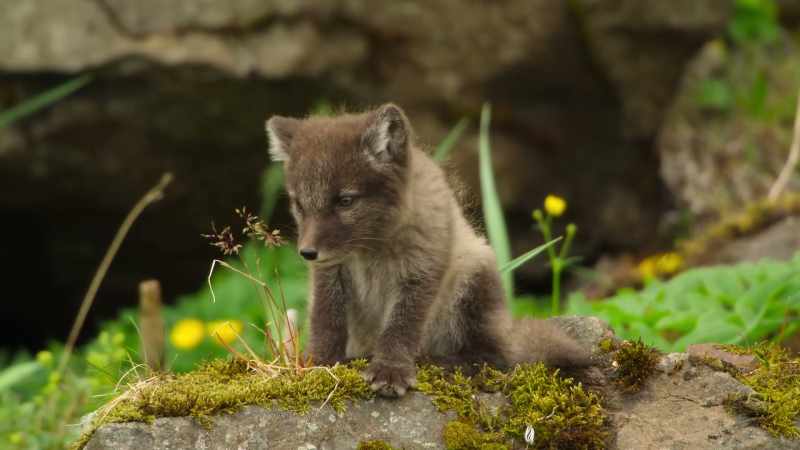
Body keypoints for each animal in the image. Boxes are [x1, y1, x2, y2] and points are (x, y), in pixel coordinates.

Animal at [266, 103, 592, 397]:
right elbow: (325, 319)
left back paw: (440, 362)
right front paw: (319, 365)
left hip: (476, 276)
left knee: (493, 357)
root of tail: (508, 332)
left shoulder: (421, 271)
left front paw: (391, 370)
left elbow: (401, 326)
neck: (372, 251)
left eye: (346, 201)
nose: (307, 253)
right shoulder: (329, 273)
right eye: (299, 205)